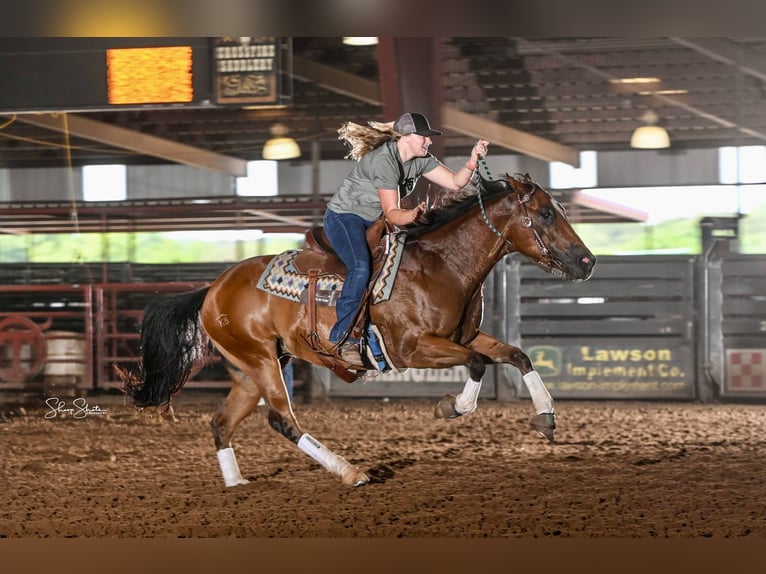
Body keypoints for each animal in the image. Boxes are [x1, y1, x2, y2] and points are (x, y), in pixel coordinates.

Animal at [123, 173, 596, 488]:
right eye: (546, 213)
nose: (588, 261)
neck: (442, 264)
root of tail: (212, 290)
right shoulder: (412, 348)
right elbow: (479, 365)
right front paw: (451, 407)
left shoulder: (461, 338)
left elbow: (517, 355)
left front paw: (546, 417)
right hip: (261, 362)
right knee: (282, 420)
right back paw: (350, 472)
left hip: (249, 369)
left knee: (222, 423)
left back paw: (237, 483)